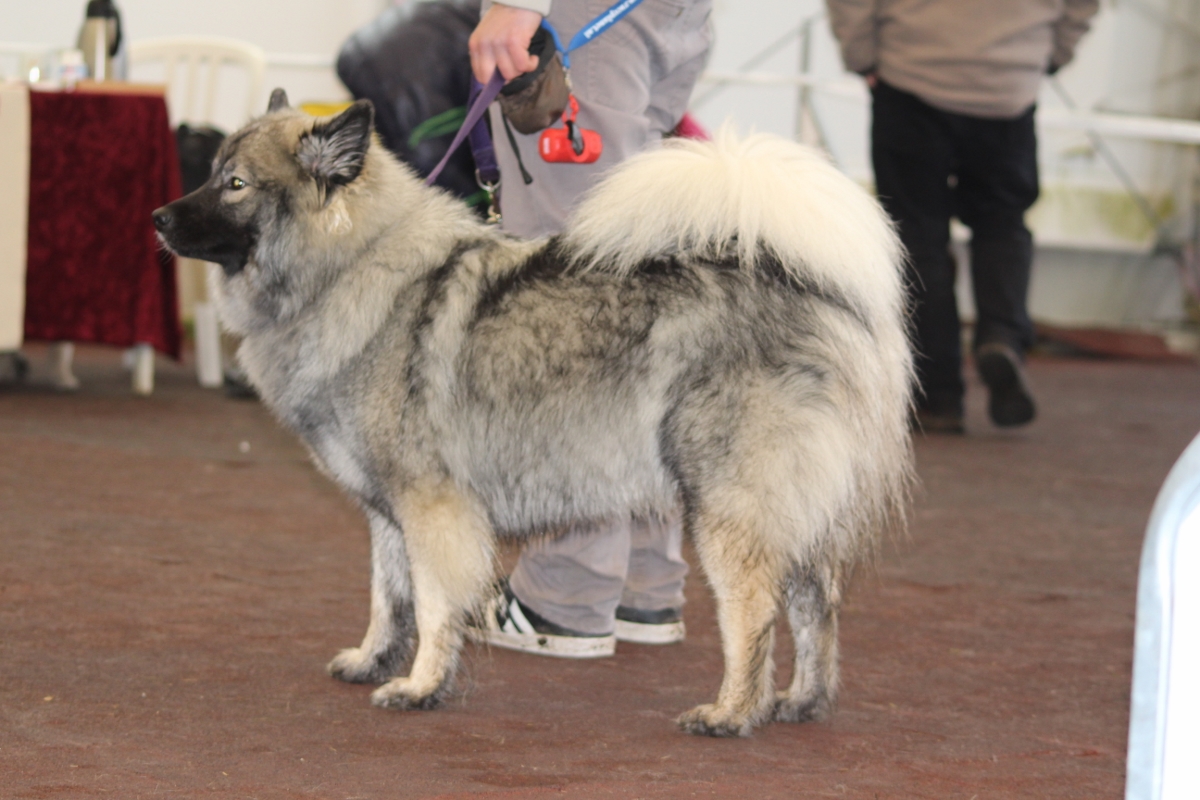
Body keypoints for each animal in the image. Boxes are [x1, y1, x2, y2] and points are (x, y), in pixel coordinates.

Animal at [153, 89, 914, 737]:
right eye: (210, 172)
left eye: (235, 184)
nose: (158, 218)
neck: (351, 266)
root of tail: (817, 289)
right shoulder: (388, 514)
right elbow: (387, 599)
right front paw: (373, 660)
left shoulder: (433, 509)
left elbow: (432, 605)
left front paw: (420, 686)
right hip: (799, 512)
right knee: (818, 605)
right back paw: (801, 702)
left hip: (730, 507)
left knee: (754, 611)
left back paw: (732, 712)